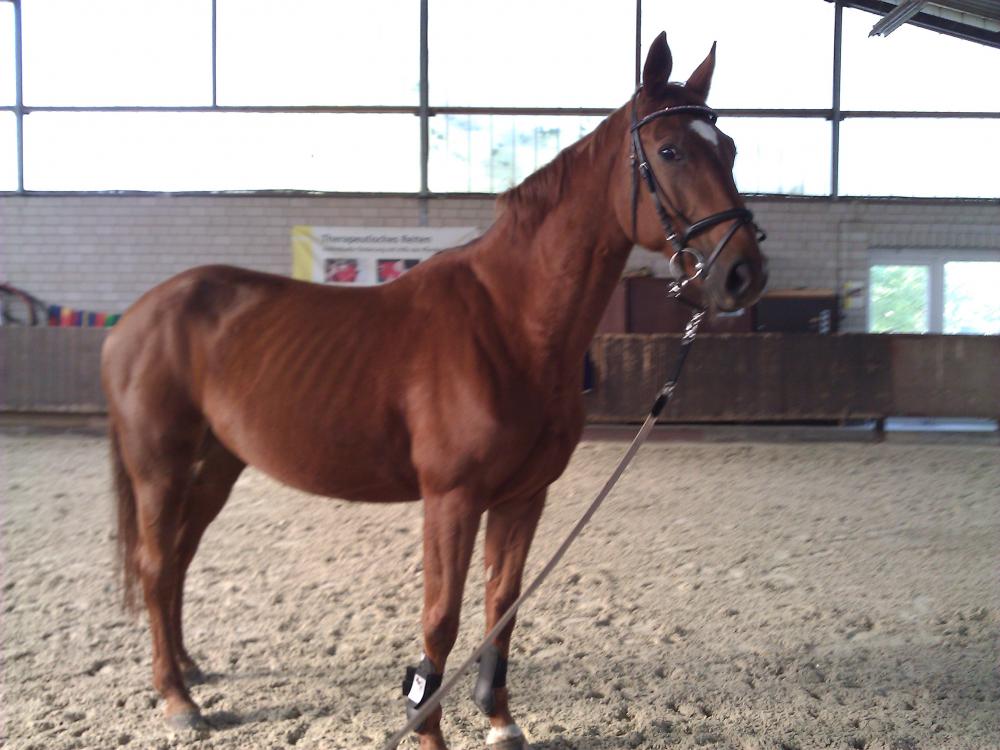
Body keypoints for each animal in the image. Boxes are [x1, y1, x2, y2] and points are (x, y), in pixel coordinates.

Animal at [102, 32, 767, 750]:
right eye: (670, 150)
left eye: (730, 148)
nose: (743, 273)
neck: (509, 321)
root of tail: (134, 318)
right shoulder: (452, 499)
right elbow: (441, 618)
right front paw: (428, 731)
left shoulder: (524, 497)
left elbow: (503, 603)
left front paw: (500, 720)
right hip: (159, 467)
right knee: (156, 565)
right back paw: (177, 699)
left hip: (217, 464)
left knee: (179, 557)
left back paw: (190, 671)